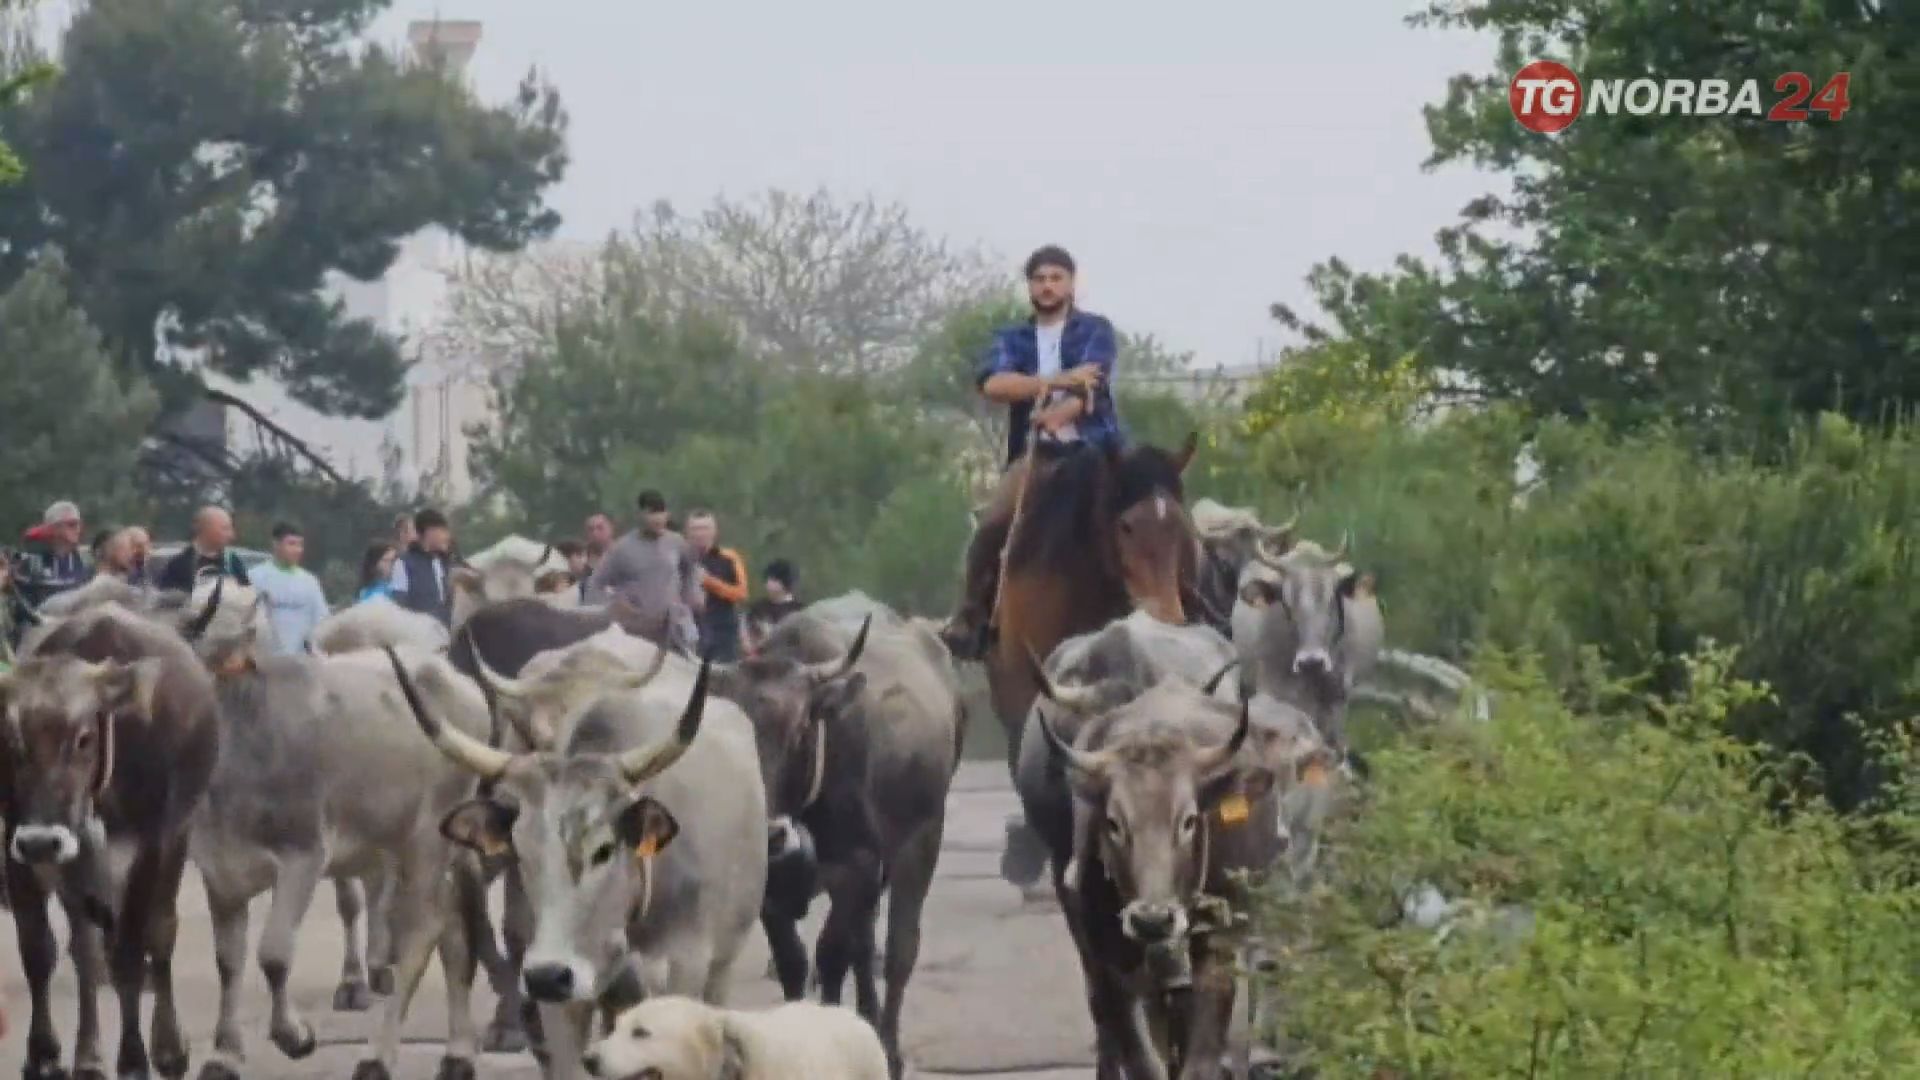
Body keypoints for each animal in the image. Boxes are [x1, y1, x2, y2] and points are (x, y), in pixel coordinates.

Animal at [0, 588, 219, 1076]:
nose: (42, 840)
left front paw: (135, 1056)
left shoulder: (151, 847)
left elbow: (130, 956)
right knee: (85, 949)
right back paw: (88, 1055)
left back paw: (167, 1048)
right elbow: (38, 949)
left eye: (84, 737)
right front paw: (44, 1053)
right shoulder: (18, 844)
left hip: (177, 838)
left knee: (160, 931)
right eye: (11, 738)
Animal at [393, 630, 768, 1076]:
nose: (547, 976)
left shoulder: (682, 971)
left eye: (604, 849)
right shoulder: (564, 1001)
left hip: (720, 968)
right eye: (521, 852)